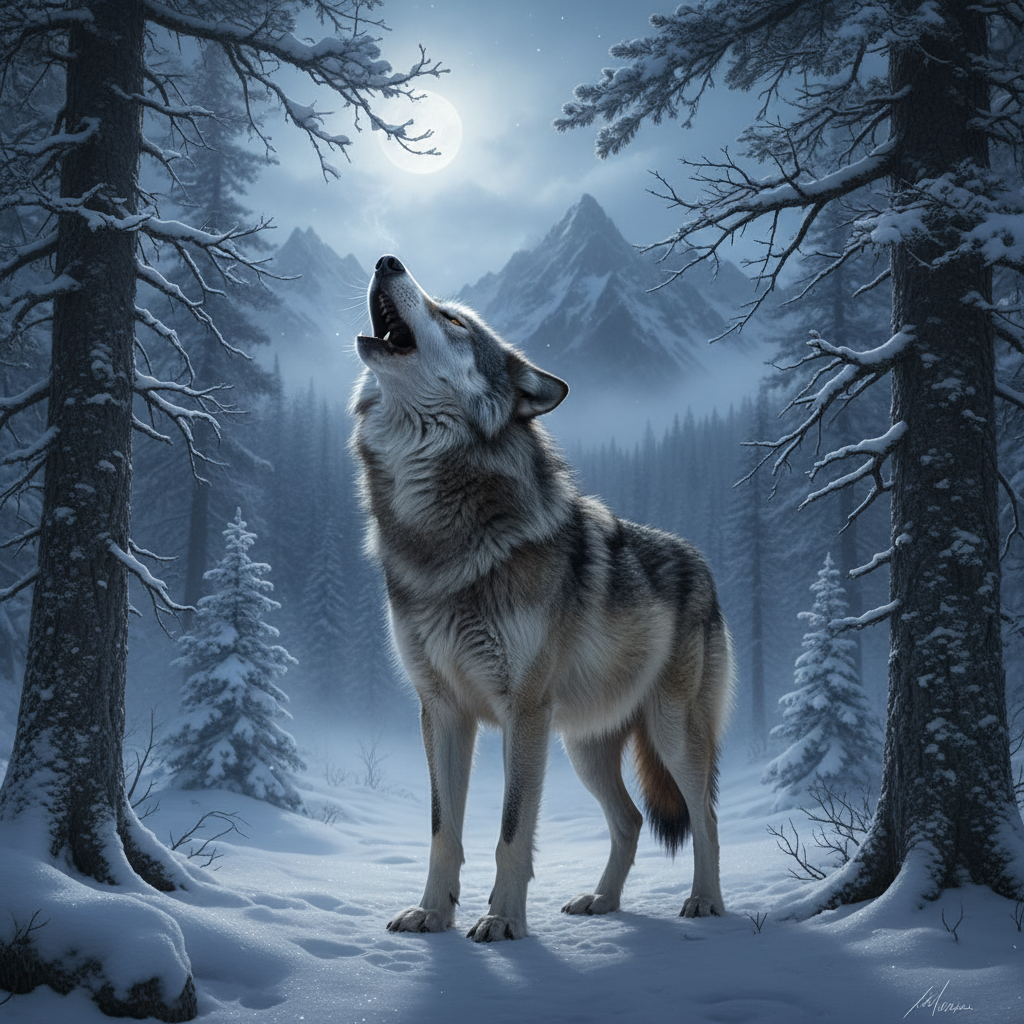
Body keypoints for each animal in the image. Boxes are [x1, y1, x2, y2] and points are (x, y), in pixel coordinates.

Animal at [350, 254, 734, 942]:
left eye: (453, 319)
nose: (387, 260)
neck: (442, 535)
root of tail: (702, 561)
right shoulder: (441, 710)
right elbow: (443, 829)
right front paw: (432, 913)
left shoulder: (522, 711)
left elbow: (510, 831)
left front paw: (502, 920)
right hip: (582, 746)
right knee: (631, 820)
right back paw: (602, 902)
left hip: (668, 732)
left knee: (707, 818)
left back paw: (705, 903)